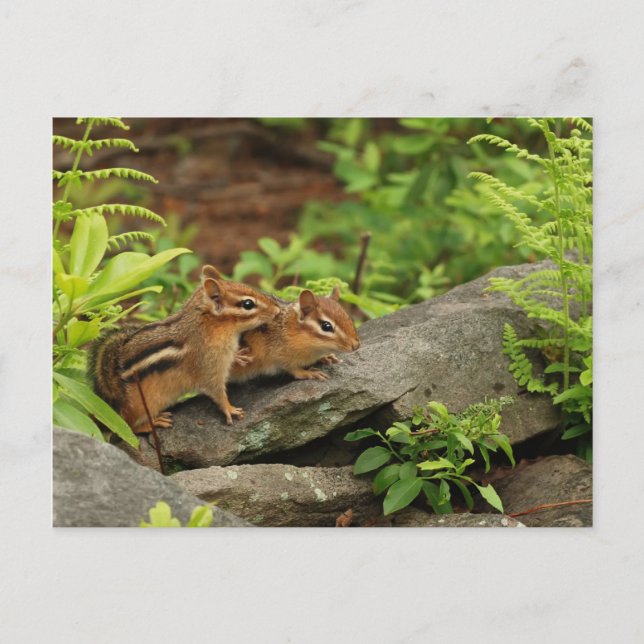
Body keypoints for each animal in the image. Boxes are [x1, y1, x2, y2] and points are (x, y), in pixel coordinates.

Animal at [88, 265, 281, 433]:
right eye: (248, 304)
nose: (277, 310)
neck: (210, 326)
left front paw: (239, 356)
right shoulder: (209, 366)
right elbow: (216, 391)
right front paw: (229, 409)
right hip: (139, 407)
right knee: (128, 427)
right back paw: (151, 424)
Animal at [229, 285, 360, 383]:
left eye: (348, 317)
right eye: (326, 326)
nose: (356, 345)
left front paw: (326, 356)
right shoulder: (277, 356)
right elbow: (293, 370)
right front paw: (308, 372)